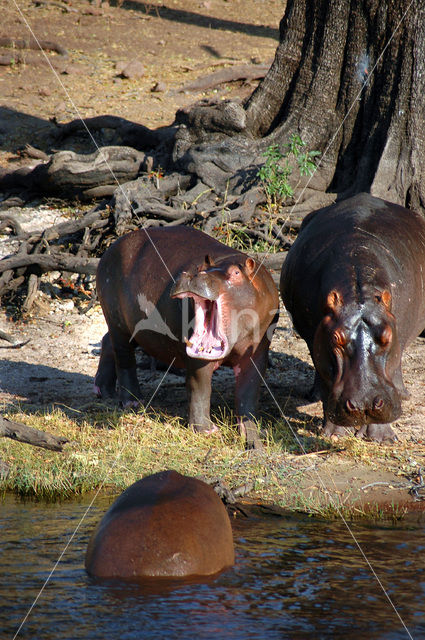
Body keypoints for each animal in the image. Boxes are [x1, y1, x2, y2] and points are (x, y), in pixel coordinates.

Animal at [94, 225, 278, 450]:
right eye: (201, 268)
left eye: (236, 273)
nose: (192, 276)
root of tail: (112, 247)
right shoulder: (197, 359)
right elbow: (200, 388)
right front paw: (207, 431)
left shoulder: (257, 352)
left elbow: (249, 391)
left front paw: (253, 433)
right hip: (117, 321)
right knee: (124, 358)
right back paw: (133, 402)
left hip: (127, 326)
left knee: (107, 341)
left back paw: (104, 391)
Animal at [278, 192, 424, 442]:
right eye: (335, 339)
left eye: (387, 336)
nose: (364, 403)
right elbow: (328, 379)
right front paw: (335, 434)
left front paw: (383, 438)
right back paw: (313, 395)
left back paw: (403, 394)